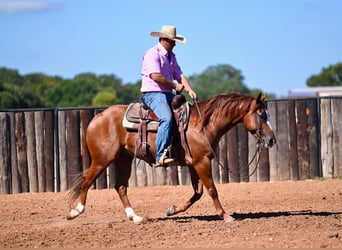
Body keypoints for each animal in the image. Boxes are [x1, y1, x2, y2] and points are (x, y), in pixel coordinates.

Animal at [66, 92, 276, 223]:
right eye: (260, 114)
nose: (272, 139)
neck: (202, 124)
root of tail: (96, 118)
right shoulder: (201, 162)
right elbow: (211, 190)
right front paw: (225, 215)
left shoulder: (194, 163)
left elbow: (198, 193)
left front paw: (172, 210)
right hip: (102, 160)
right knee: (87, 181)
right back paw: (75, 212)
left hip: (123, 159)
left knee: (121, 187)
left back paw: (135, 217)